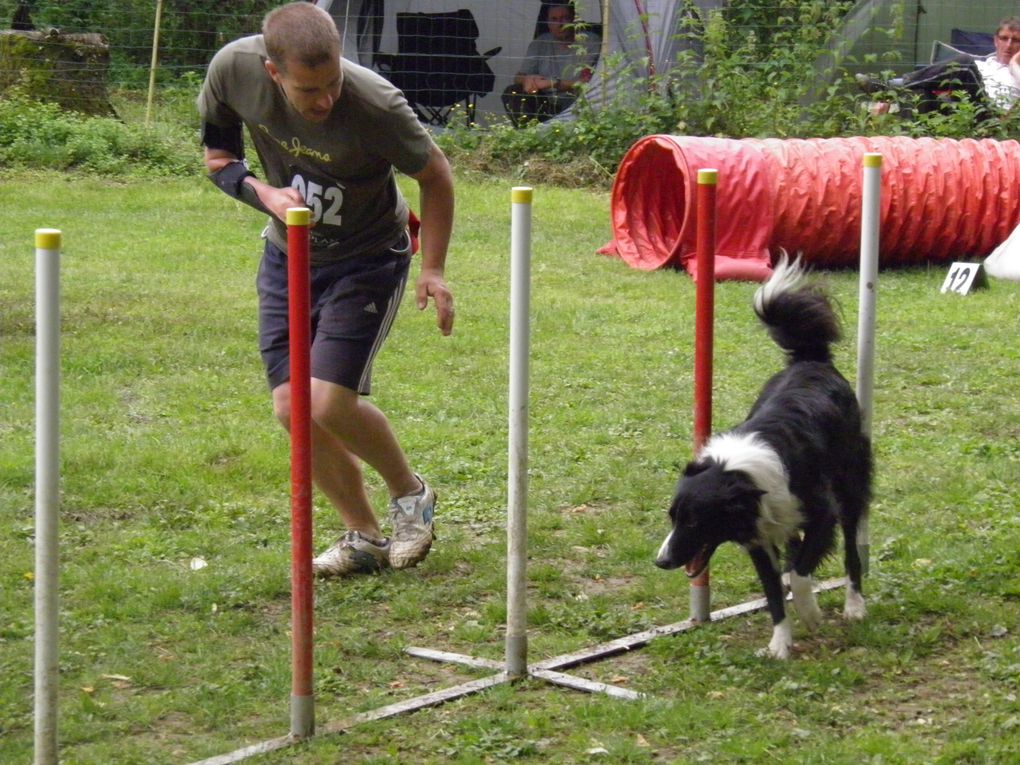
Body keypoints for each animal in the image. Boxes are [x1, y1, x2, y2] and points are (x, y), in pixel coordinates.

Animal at [656, 256, 873, 660]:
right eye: (673, 518)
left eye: (694, 521)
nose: (661, 561)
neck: (737, 473)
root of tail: (810, 360)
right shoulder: (758, 536)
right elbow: (773, 593)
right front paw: (780, 645)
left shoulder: (822, 513)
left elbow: (801, 576)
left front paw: (810, 612)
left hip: (849, 487)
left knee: (852, 549)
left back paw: (855, 605)